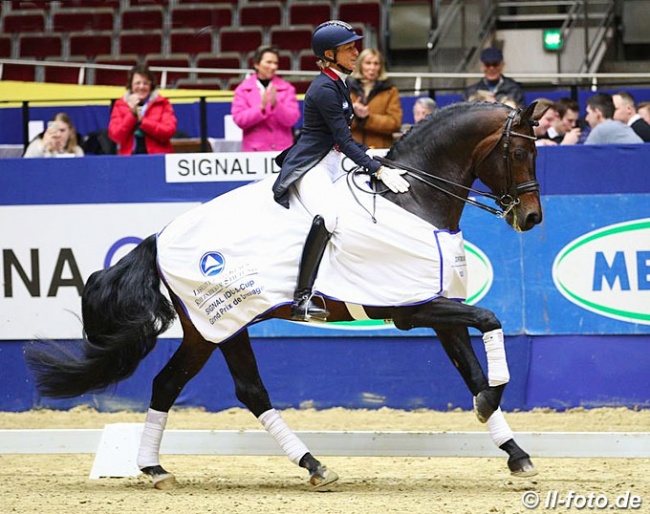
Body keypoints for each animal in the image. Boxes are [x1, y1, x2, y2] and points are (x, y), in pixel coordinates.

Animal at [24, 100, 540, 488]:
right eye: (517, 153)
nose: (531, 218)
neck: (412, 200)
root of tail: (158, 237)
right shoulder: (416, 309)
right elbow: (491, 321)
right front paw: (491, 406)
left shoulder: (438, 307)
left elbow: (472, 371)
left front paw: (514, 451)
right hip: (216, 325)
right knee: (228, 389)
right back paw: (302, 464)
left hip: (214, 329)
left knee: (186, 386)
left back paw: (164, 467)